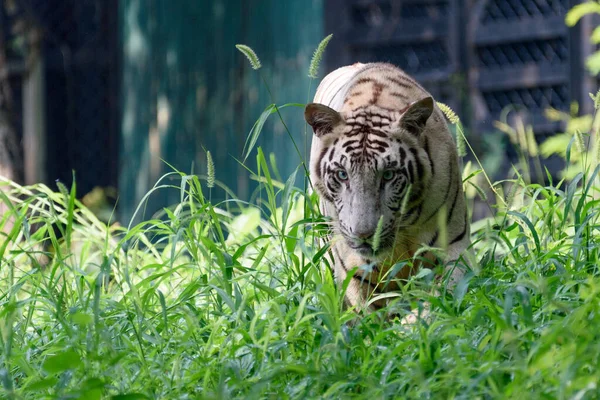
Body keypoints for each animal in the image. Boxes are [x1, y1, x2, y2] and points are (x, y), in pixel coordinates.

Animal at [308, 62, 472, 318]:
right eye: (343, 175)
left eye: (388, 175)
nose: (364, 235)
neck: (403, 230)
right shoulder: (352, 269)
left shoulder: (455, 249)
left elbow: (443, 296)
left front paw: (416, 321)